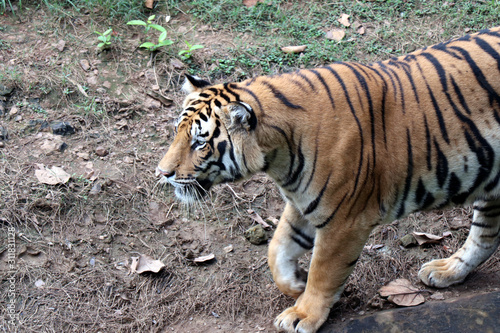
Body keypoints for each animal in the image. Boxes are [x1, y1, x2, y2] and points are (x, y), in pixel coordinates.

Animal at [155, 27, 500, 330]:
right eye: (177, 132)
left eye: (199, 142)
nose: (162, 173)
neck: (278, 156)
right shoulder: (302, 202)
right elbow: (276, 249)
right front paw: (295, 284)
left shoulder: (343, 221)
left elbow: (324, 271)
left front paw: (302, 314)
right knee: (485, 236)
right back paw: (448, 270)